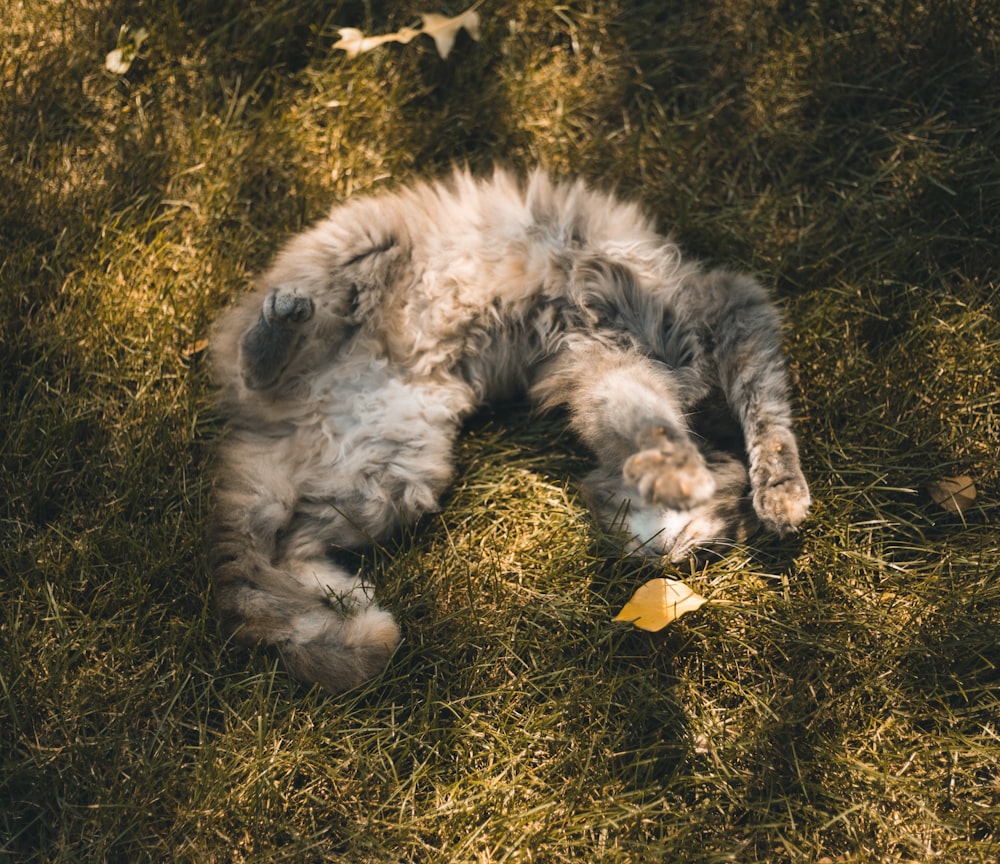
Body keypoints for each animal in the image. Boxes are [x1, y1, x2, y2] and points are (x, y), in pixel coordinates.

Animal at [211, 167, 812, 696]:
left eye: (705, 553)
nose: (669, 563)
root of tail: (269, 426)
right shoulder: (728, 311)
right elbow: (758, 417)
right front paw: (769, 492)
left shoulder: (610, 372)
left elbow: (674, 418)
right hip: (356, 261)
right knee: (256, 362)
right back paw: (281, 322)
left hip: (391, 479)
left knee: (288, 545)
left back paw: (343, 595)